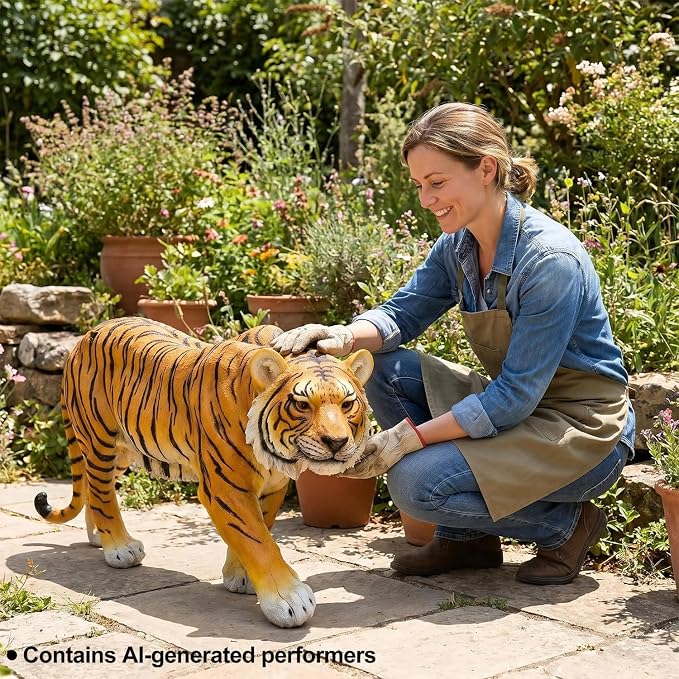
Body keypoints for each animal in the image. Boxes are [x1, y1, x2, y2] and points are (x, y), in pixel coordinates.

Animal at [33, 318, 373, 628]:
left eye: (347, 403)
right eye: (302, 405)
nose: (337, 442)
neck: (277, 451)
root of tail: (84, 337)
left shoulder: (271, 486)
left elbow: (257, 529)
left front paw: (240, 577)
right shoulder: (225, 487)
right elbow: (257, 538)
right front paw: (287, 599)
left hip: (123, 448)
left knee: (94, 486)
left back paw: (98, 539)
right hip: (99, 439)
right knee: (102, 492)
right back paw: (119, 548)